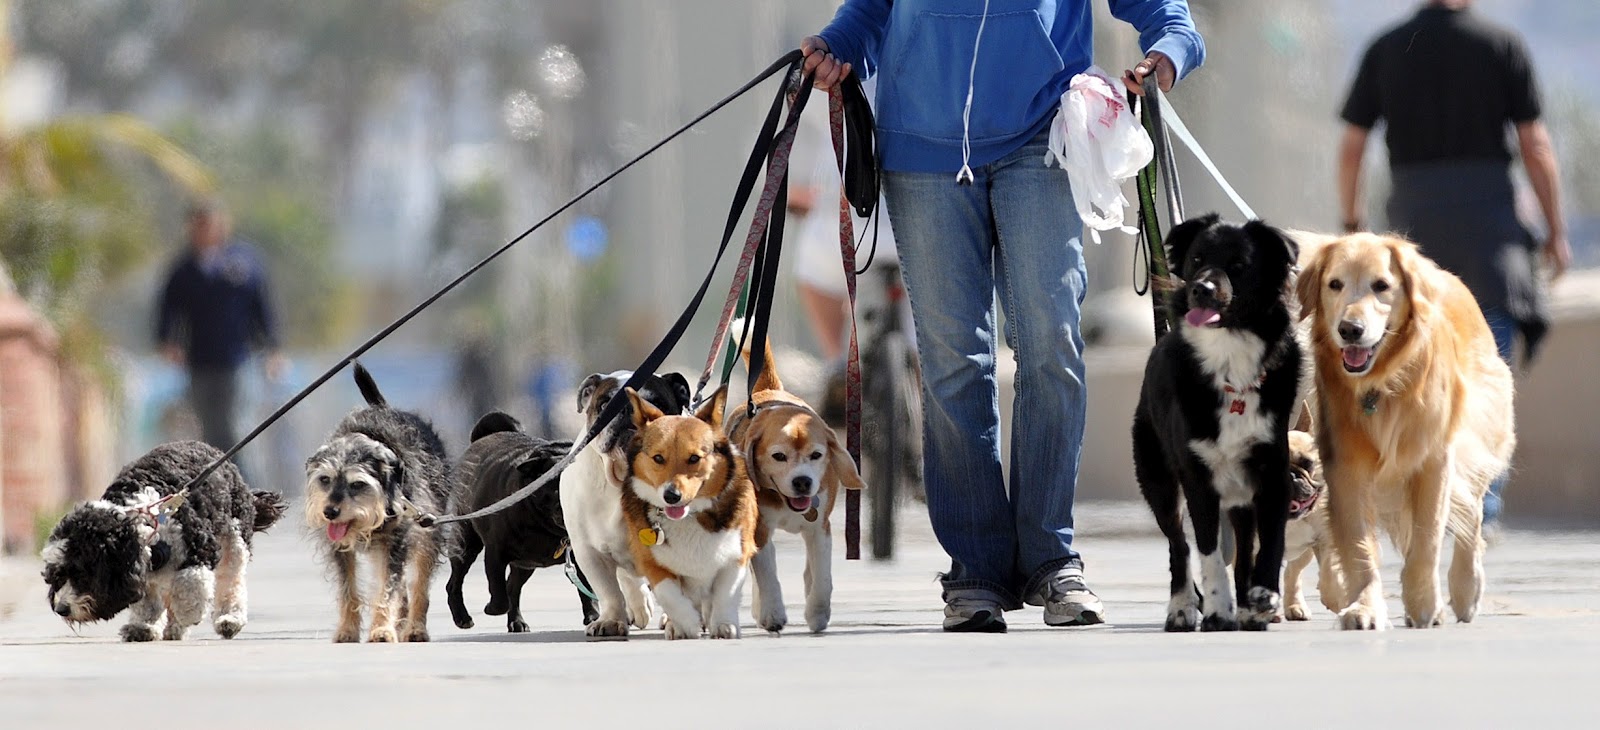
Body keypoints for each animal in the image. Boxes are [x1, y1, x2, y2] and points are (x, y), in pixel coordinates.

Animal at [42, 438, 286, 640]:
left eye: (81, 573)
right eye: (57, 576)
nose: (61, 609)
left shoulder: (201, 547)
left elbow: (190, 582)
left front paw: (188, 613)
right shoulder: (143, 570)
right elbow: (147, 602)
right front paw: (144, 627)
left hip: (234, 538)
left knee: (231, 581)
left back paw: (228, 619)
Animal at [304, 361, 451, 640]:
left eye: (357, 484)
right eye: (325, 479)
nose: (330, 512)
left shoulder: (397, 542)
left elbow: (387, 590)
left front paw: (382, 630)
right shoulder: (342, 549)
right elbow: (349, 590)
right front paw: (347, 630)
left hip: (426, 534)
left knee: (419, 586)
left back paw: (415, 628)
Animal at [617, 387, 755, 640]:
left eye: (694, 458)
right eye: (658, 458)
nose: (671, 496)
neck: (689, 516)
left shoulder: (738, 553)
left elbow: (726, 593)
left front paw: (724, 625)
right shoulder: (652, 562)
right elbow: (670, 595)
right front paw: (687, 624)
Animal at [729, 342, 864, 633]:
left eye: (816, 455)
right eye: (778, 456)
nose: (802, 481)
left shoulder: (820, 529)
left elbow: (822, 578)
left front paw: (818, 613)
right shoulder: (760, 530)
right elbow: (767, 575)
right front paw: (772, 614)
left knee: (809, 574)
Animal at [1132, 214, 1305, 630]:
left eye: (1239, 265)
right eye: (1196, 260)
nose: (1201, 289)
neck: (1229, 358)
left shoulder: (1273, 472)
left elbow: (1269, 542)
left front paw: (1263, 596)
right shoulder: (1197, 477)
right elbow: (1208, 552)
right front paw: (1216, 609)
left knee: (1242, 548)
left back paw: (1248, 607)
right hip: (1158, 479)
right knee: (1178, 546)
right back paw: (1181, 607)